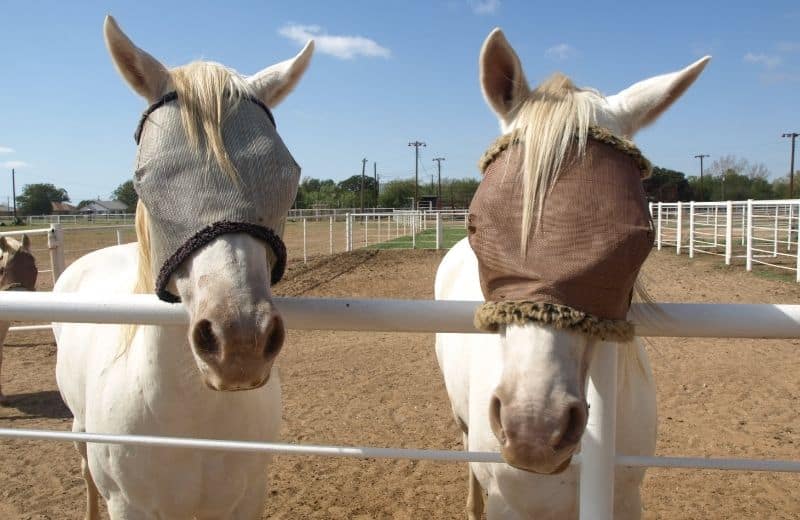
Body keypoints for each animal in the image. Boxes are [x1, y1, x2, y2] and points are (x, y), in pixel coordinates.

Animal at [54, 16, 313, 519]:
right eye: (143, 180)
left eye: (289, 175)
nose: (240, 343)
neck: (194, 418)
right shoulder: (129, 505)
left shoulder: (245, 499)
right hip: (79, 432)